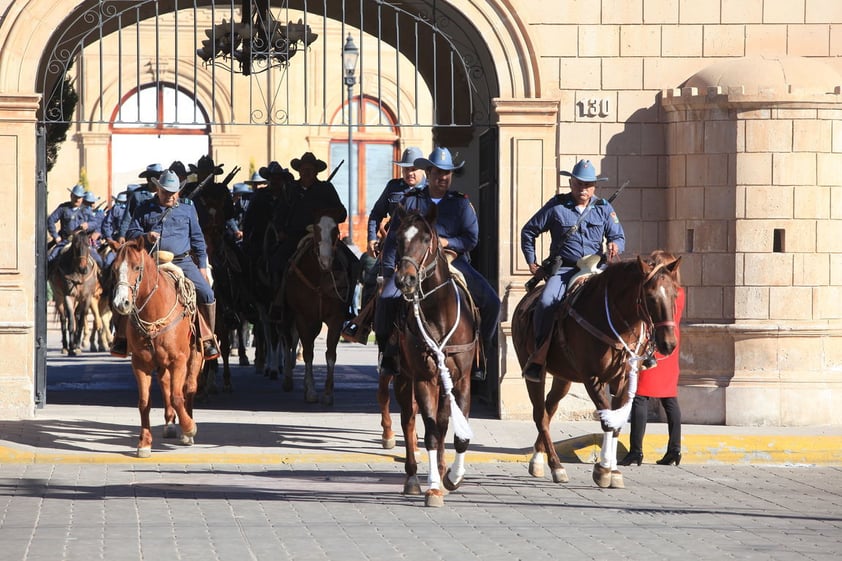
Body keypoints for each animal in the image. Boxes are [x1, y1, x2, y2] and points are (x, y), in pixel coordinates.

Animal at [110, 234, 202, 458]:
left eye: (136, 267)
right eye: (114, 269)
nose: (121, 303)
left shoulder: (178, 361)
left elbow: (178, 397)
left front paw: (189, 427)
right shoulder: (140, 363)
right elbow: (144, 402)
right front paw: (144, 443)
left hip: (195, 356)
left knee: (188, 388)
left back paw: (187, 430)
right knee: (166, 385)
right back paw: (169, 424)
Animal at [280, 210, 346, 402]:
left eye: (335, 231)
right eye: (316, 232)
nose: (326, 261)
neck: (319, 280)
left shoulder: (336, 318)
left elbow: (330, 353)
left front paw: (328, 393)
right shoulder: (301, 316)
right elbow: (308, 352)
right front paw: (310, 391)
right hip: (288, 315)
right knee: (288, 340)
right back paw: (288, 378)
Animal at [390, 206, 476, 508]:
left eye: (427, 239)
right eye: (398, 238)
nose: (405, 280)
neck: (439, 315)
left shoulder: (461, 381)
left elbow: (457, 435)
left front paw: (452, 478)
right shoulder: (423, 379)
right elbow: (428, 433)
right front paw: (434, 487)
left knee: (442, 422)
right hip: (403, 379)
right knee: (408, 421)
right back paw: (413, 478)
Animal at [508, 253, 680, 486]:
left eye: (675, 294)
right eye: (651, 296)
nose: (669, 344)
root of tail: (524, 303)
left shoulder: (624, 379)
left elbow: (616, 423)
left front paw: (613, 470)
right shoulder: (592, 378)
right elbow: (607, 421)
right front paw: (603, 470)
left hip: (563, 377)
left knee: (549, 409)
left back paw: (537, 461)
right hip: (535, 372)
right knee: (539, 415)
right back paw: (556, 466)